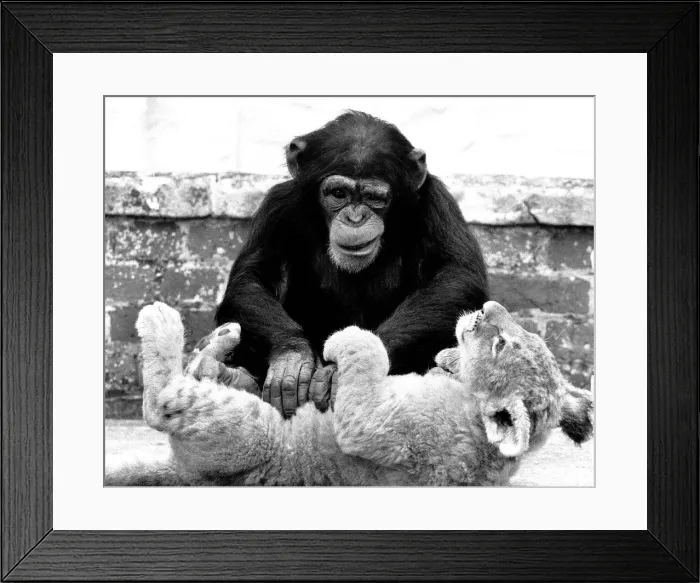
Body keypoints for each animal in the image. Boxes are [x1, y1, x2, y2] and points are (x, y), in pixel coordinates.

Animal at [106, 301, 593, 486]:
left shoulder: (375, 427)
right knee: (203, 371)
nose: (488, 307)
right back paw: (221, 340)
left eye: (501, 345)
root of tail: (185, 474)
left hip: (250, 429)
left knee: (162, 401)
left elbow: (369, 347)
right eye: (519, 335)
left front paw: (344, 338)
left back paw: (161, 319)